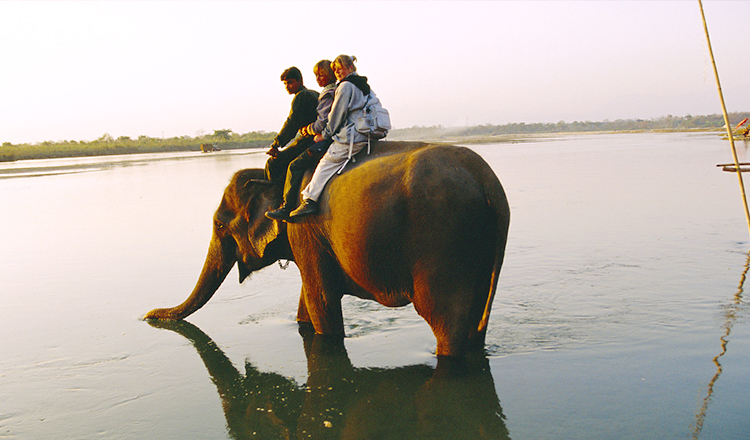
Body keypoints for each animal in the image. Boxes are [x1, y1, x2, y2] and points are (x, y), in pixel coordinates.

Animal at [144, 141, 510, 358]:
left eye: (219, 226)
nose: (147, 316)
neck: (275, 177)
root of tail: (487, 180)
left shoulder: (302, 224)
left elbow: (321, 300)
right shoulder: (309, 237)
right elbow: (307, 302)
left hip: (444, 237)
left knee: (445, 319)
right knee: (477, 318)